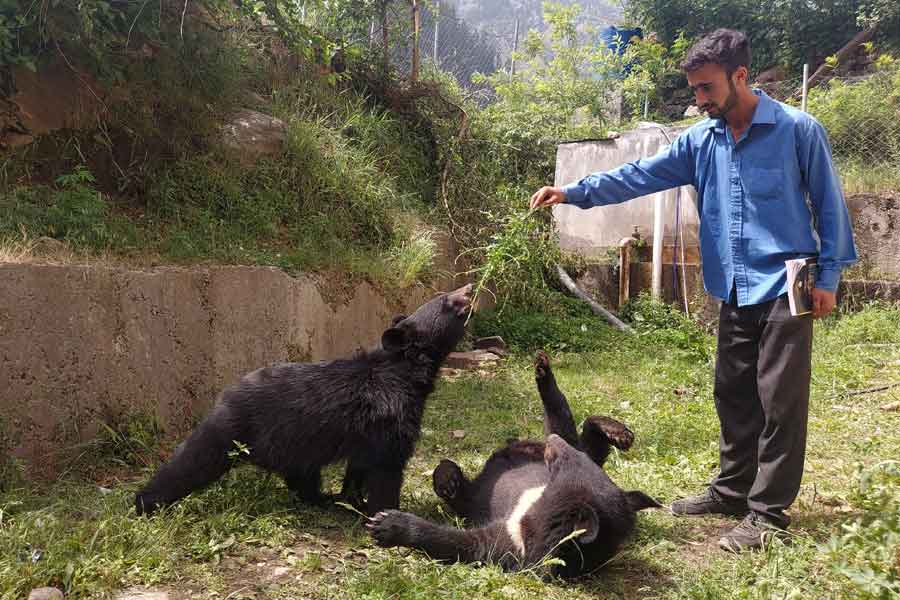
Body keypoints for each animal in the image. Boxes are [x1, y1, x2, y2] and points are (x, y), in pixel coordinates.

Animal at [137, 284, 474, 516]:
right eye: (447, 300)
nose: (470, 287)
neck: (407, 372)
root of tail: (224, 395)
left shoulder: (368, 432)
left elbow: (359, 466)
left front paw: (352, 500)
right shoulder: (390, 415)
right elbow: (386, 467)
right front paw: (385, 511)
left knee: (302, 476)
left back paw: (320, 499)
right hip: (234, 431)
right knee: (190, 462)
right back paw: (144, 503)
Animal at [368, 352, 660, 576]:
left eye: (568, 463)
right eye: (576, 463)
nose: (553, 444)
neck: (534, 510)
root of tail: (523, 445)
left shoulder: (511, 543)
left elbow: (463, 544)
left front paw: (385, 524)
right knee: (572, 424)